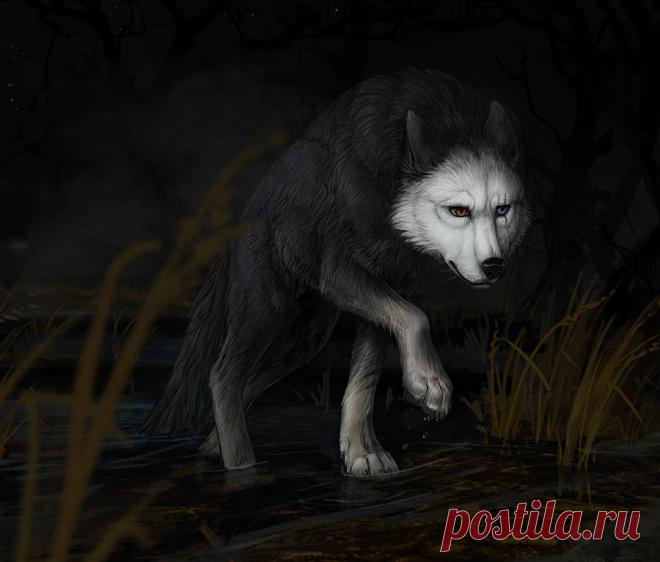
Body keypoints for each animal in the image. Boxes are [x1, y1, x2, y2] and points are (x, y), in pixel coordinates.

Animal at [141, 68, 530, 475]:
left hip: (304, 340)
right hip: (266, 315)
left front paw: (362, 455)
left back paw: (211, 446)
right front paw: (429, 386)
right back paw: (241, 466)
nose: (494, 266)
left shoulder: (387, 290)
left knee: (246, 382)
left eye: (503, 209)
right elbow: (418, 318)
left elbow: (366, 375)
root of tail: (244, 217)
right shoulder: (339, 271)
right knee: (222, 377)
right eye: (458, 211)